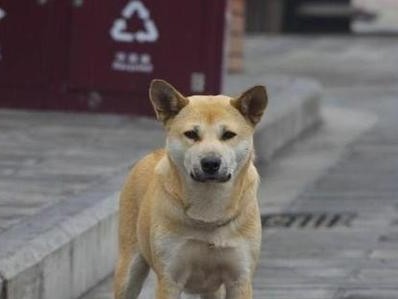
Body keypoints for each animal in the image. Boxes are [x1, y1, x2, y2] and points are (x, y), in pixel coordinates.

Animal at [114, 79, 268, 299]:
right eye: (191, 134)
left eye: (228, 135)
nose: (210, 163)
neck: (209, 211)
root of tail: (152, 154)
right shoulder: (170, 279)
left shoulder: (240, 279)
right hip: (129, 268)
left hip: (213, 290)